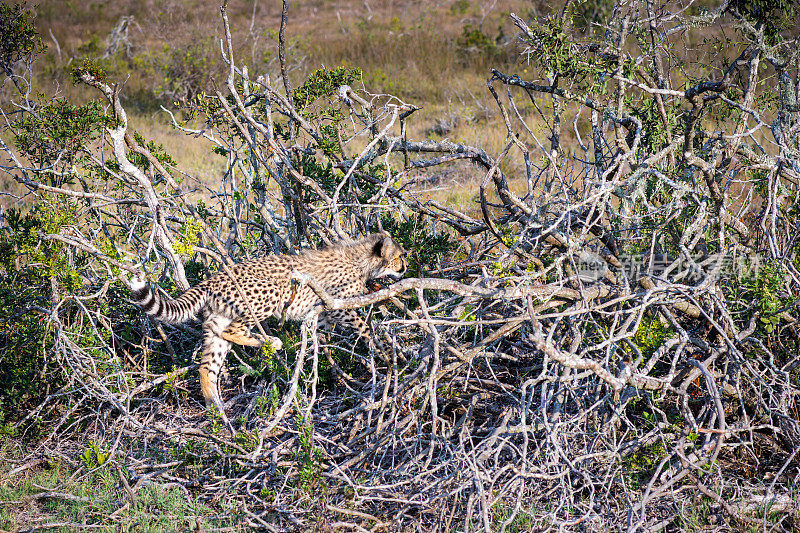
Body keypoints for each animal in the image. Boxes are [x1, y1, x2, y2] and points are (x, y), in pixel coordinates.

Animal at [129, 232, 410, 428]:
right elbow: (365, 327)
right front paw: (385, 354)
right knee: (235, 331)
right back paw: (270, 343)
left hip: (218, 320)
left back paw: (216, 408)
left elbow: (323, 327)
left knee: (207, 366)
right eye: (399, 257)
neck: (361, 260)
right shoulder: (337, 307)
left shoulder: (321, 314)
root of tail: (212, 279)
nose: (405, 267)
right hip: (269, 294)